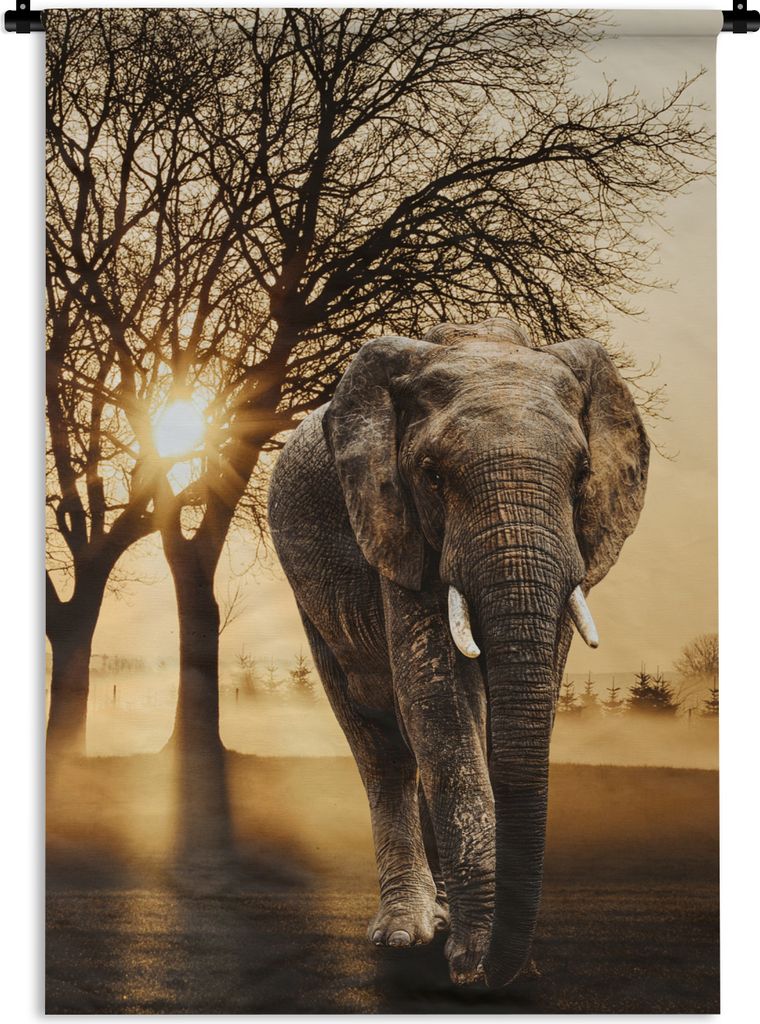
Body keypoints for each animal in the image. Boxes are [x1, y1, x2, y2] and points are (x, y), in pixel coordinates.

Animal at [267, 317, 649, 987]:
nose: (485, 977)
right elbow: (441, 702)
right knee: (380, 741)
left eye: (581, 475)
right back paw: (407, 931)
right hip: (311, 602)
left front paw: (479, 952)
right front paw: (471, 957)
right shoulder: (395, 526)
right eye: (433, 475)